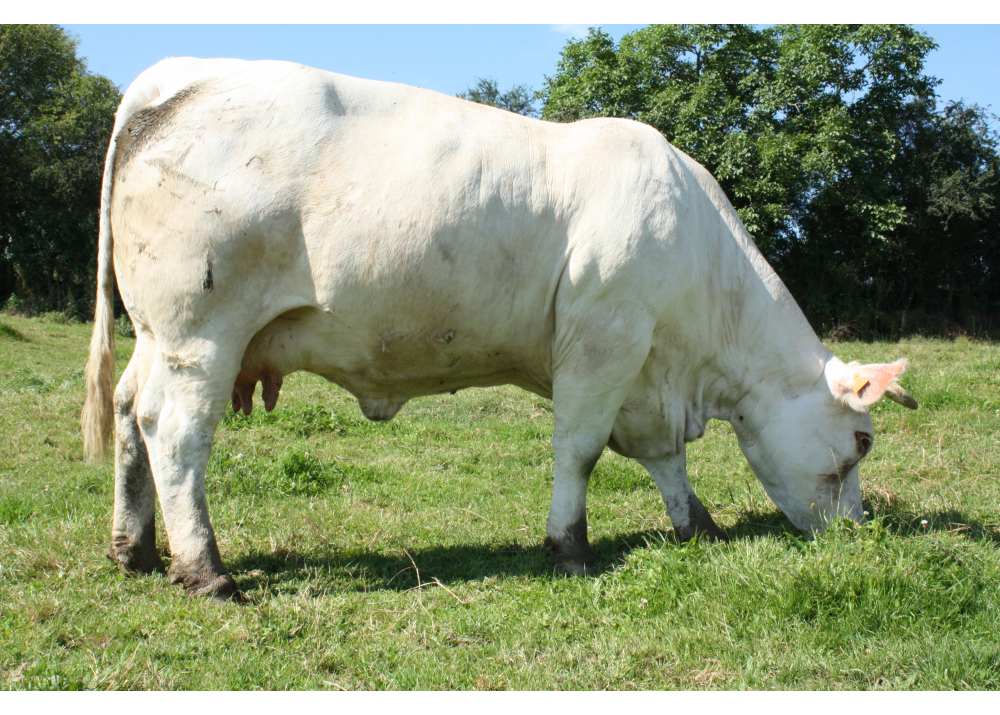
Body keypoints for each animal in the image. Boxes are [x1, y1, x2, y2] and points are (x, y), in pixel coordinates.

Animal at [82, 58, 916, 600]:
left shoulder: (642, 370)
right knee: (175, 432)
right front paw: (570, 548)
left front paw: (697, 525)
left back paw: (134, 549)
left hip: (157, 336)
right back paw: (206, 569)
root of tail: (172, 77)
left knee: (127, 413)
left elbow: (663, 459)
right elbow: (580, 450)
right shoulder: (605, 339)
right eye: (862, 440)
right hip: (200, 333)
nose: (858, 531)